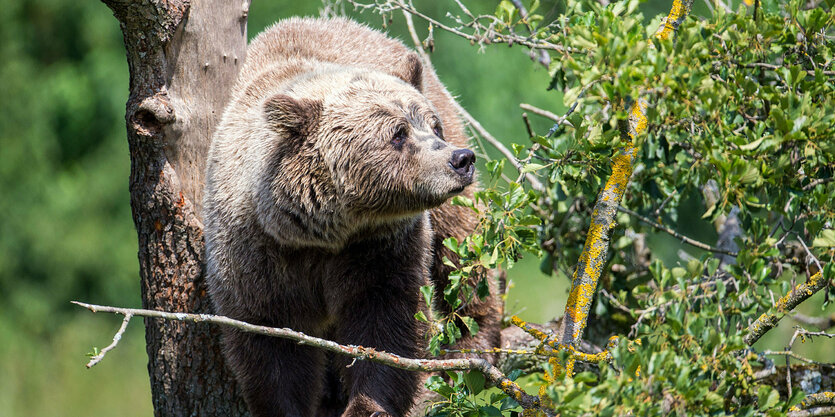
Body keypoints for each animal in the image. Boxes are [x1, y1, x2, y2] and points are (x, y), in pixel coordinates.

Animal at [202, 16, 502, 416]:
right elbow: (269, 342)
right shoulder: (256, 255)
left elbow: (387, 322)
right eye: (398, 133)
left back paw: (474, 343)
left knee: (462, 249)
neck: (324, 232)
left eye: (432, 125)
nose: (460, 159)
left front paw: (366, 404)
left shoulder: (379, 248)